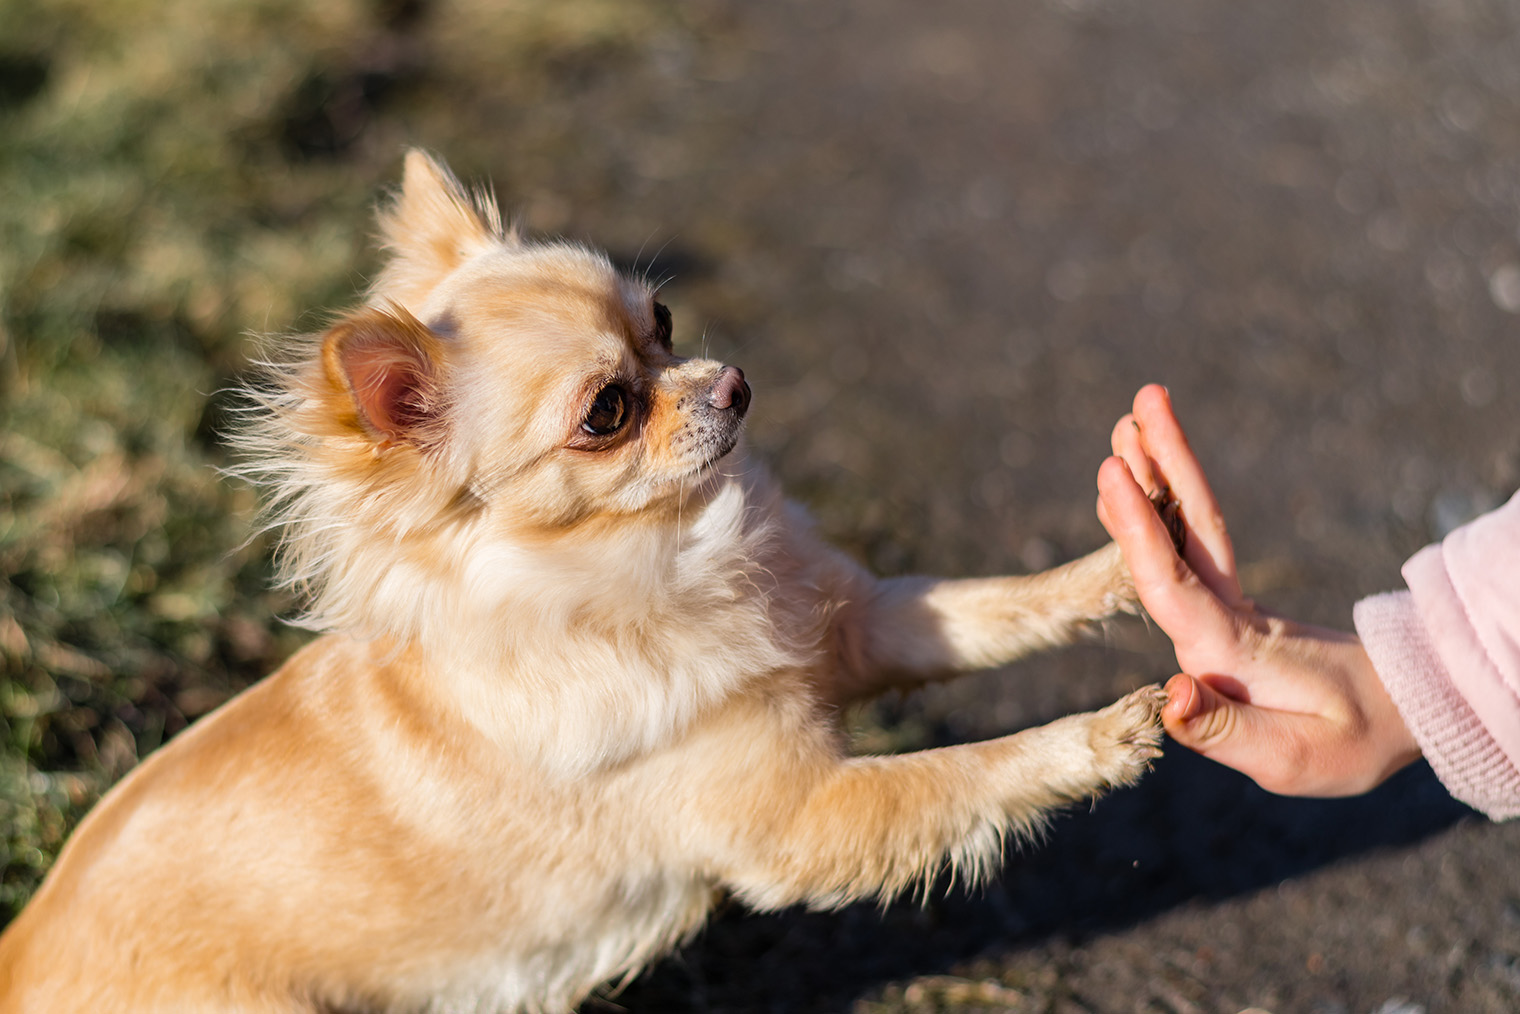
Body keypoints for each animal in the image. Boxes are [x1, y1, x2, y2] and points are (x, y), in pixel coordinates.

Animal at [0, 150, 1161, 1014]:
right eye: (606, 411)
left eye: (664, 325)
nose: (735, 383)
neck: (670, 558)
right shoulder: (800, 823)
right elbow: (966, 773)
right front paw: (1100, 737)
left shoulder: (864, 625)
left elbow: (1001, 603)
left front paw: (1136, 557)